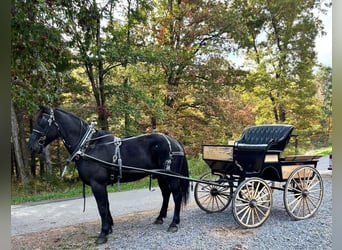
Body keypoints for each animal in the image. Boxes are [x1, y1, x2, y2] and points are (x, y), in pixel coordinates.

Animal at [28, 106, 190, 244]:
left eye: (42, 121)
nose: (31, 146)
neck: (88, 146)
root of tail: (175, 142)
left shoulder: (97, 184)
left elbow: (101, 207)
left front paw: (103, 233)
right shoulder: (102, 185)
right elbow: (106, 205)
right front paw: (109, 227)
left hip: (171, 177)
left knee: (176, 196)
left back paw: (174, 223)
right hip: (162, 176)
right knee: (166, 195)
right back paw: (160, 217)